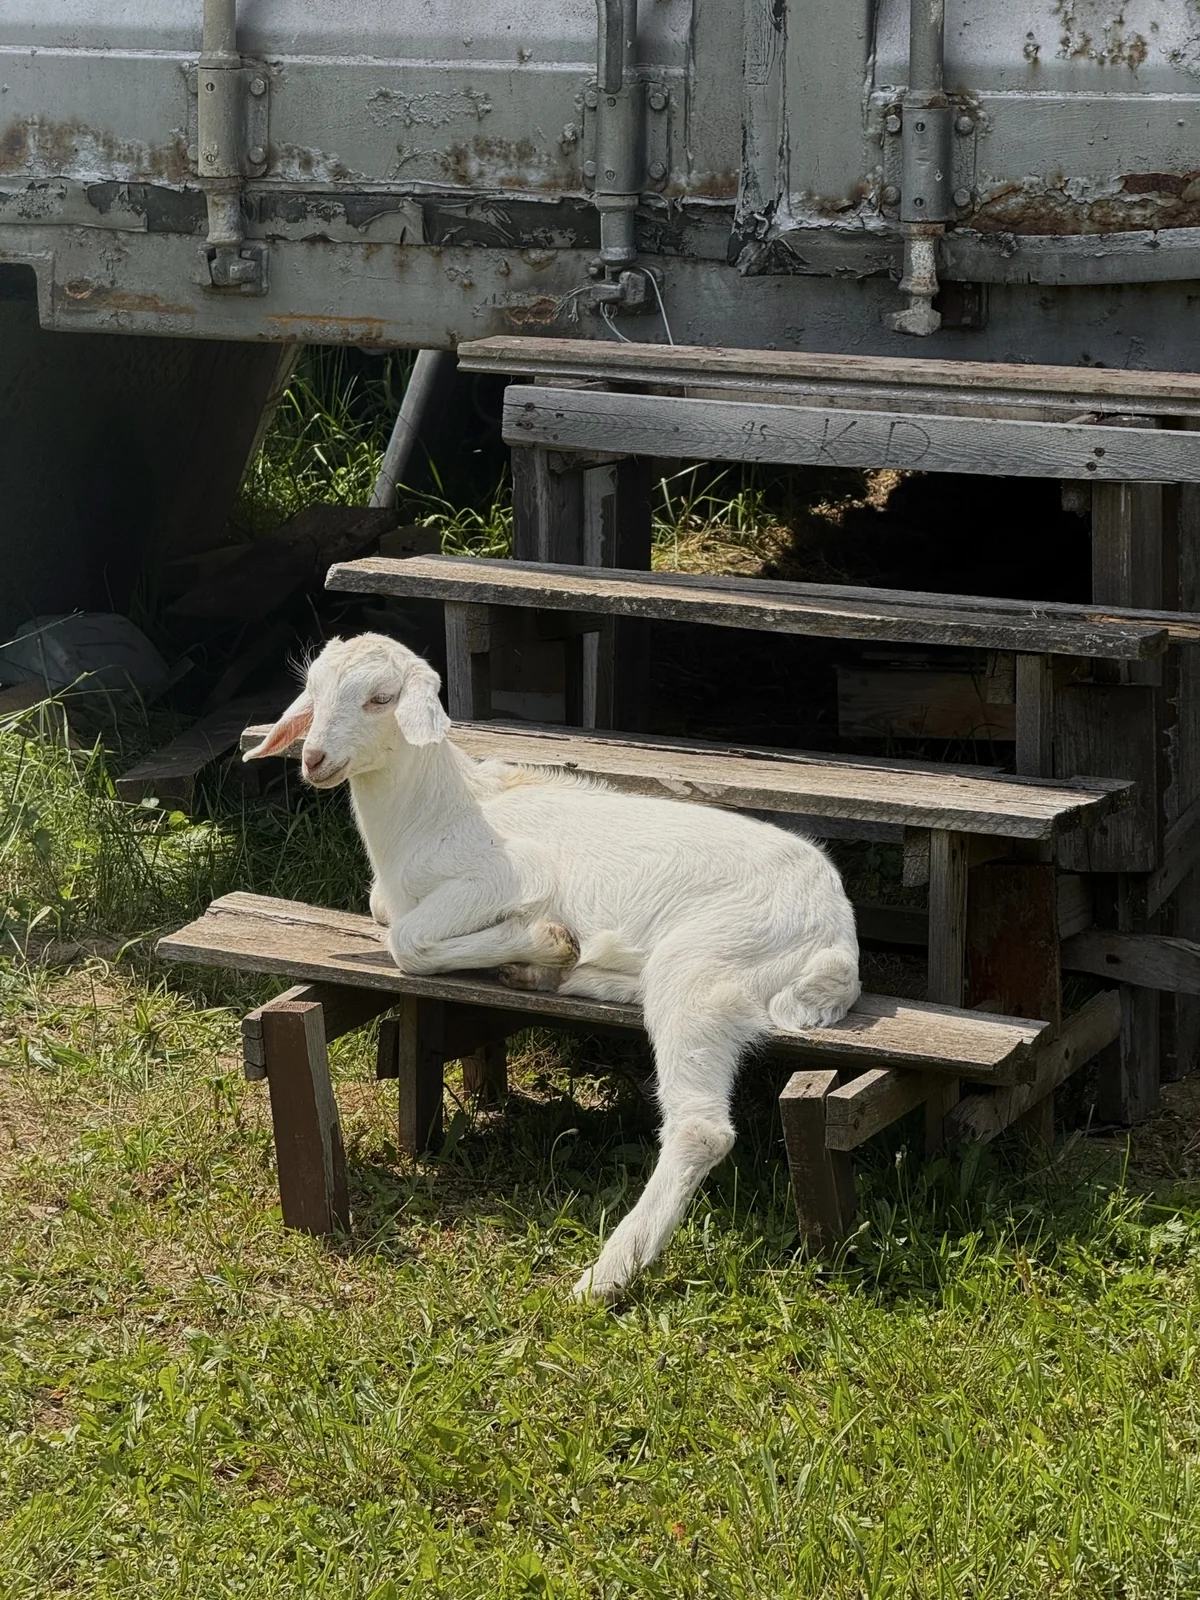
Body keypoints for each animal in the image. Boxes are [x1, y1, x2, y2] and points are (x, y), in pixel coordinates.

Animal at [246, 634, 861, 1300]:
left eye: (381, 698)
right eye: (313, 692)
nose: (315, 759)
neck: (442, 814)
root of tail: (835, 940)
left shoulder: (506, 876)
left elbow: (408, 941)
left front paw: (542, 936)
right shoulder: (391, 896)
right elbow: (388, 916)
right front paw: (542, 952)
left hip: (707, 964)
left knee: (700, 1129)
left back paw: (607, 1274)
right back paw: (561, 973)